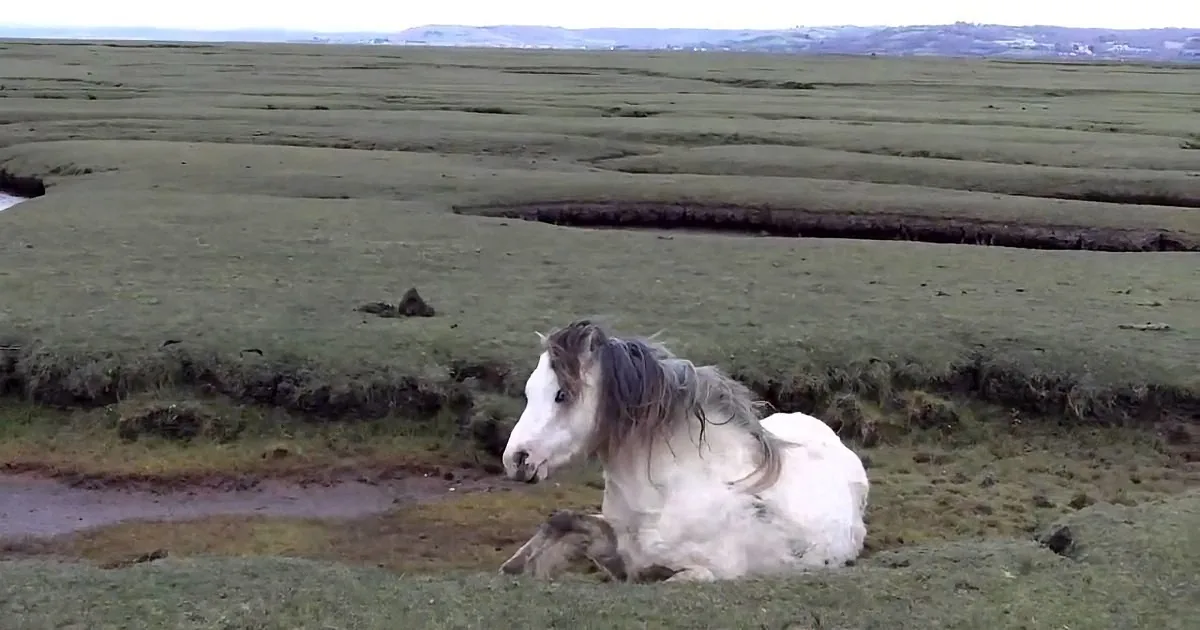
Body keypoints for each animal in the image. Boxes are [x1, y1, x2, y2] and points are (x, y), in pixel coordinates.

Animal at [500, 319, 870, 582]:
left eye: (562, 394)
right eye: (530, 391)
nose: (516, 459)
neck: (667, 492)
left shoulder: (704, 573)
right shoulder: (621, 555)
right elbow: (562, 521)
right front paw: (516, 567)